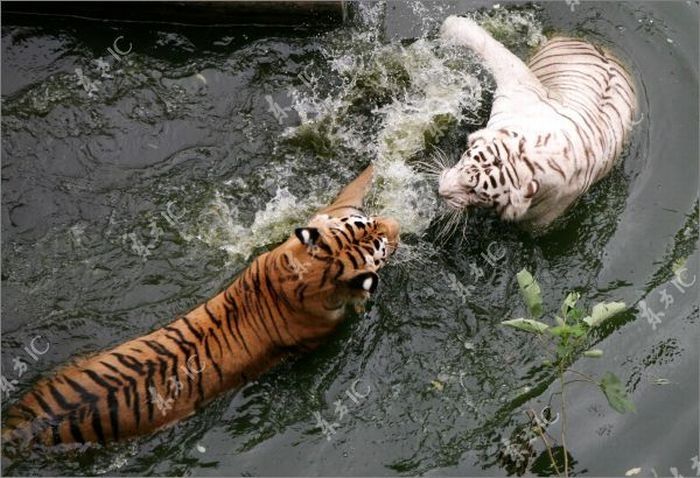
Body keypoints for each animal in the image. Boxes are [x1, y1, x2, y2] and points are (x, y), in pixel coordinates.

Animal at [440, 15, 636, 229]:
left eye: (475, 192)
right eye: (467, 157)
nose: (440, 191)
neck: (529, 156)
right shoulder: (517, 90)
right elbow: (488, 46)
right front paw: (449, 28)